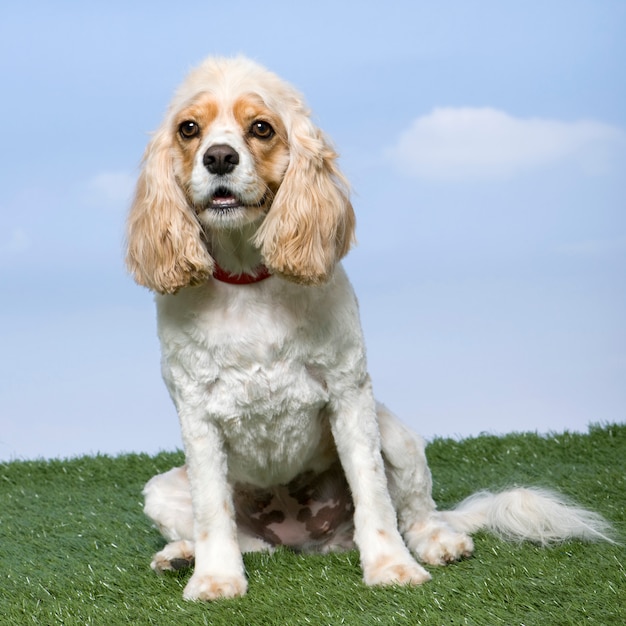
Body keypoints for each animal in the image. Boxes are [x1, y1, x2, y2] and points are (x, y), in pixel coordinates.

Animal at [124, 56, 612, 596]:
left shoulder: (348, 393)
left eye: (262, 128)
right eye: (189, 129)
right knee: (240, 536)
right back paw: (182, 554)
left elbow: (373, 496)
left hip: (398, 439)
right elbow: (213, 510)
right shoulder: (197, 414)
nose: (219, 158)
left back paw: (440, 542)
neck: (249, 281)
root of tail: (300, 537)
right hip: (162, 488)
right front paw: (215, 579)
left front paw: (391, 567)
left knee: (417, 513)